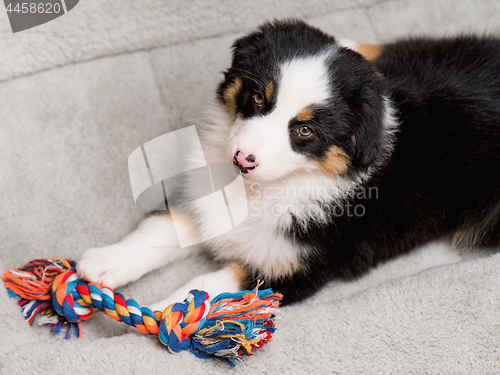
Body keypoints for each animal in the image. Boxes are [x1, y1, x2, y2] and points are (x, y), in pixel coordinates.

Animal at [76, 19, 500, 308]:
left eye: (305, 131)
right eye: (257, 99)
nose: (242, 160)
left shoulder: (298, 270)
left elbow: (215, 284)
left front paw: (168, 313)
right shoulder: (204, 200)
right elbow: (163, 228)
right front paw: (106, 263)